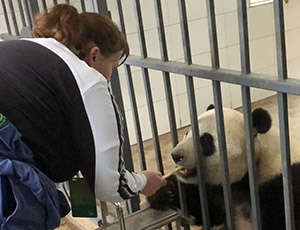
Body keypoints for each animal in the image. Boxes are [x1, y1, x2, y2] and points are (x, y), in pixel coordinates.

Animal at [149, 105, 300, 230]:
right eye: (186, 133)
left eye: (206, 140)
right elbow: (203, 210)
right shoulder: (219, 192)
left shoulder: (279, 185)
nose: (176, 155)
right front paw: (162, 190)